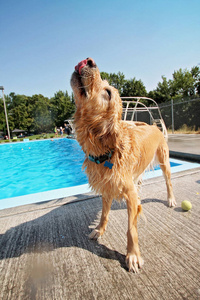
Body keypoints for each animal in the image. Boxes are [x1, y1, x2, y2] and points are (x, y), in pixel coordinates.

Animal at [70, 57, 175, 274]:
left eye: (108, 92)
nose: (90, 61)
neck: (105, 150)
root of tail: (153, 125)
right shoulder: (107, 187)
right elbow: (104, 214)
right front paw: (99, 230)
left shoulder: (128, 194)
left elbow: (131, 228)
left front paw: (133, 255)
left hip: (164, 161)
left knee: (168, 182)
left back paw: (170, 199)